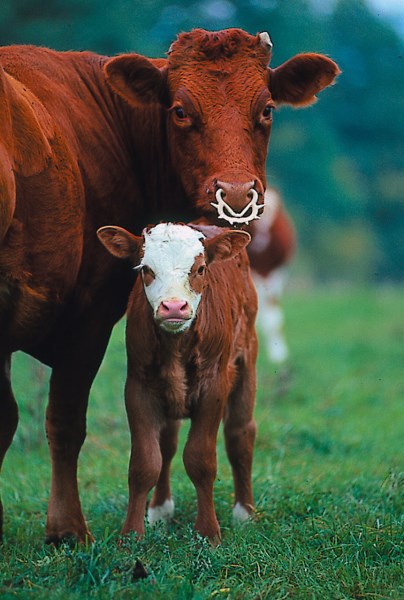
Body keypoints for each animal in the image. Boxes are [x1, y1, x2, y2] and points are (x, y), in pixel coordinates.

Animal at [96, 221, 258, 544]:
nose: (173, 307)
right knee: (167, 444)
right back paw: (160, 509)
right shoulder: (138, 388)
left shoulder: (214, 387)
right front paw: (131, 536)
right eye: (146, 269)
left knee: (240, 433)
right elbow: (145, 462)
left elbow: (201, 460)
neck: (176, 346)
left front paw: (208, 533)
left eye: (200, 268)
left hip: (247, 358)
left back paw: (244, 513)